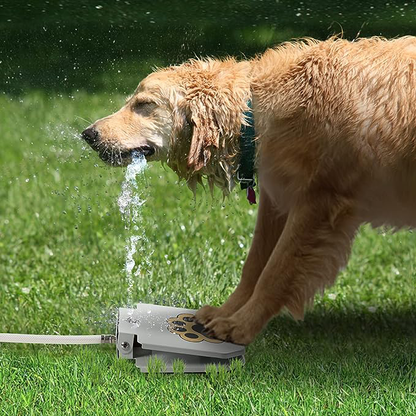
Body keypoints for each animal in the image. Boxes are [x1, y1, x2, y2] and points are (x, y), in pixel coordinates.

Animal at [83, 37, 416, 344]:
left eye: (144, 104)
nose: (88, 134)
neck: (256, 112)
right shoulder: (277, 197)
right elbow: (254, 265)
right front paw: (225, 313)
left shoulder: (319, 201)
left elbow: (275, 272)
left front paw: (241, 326)